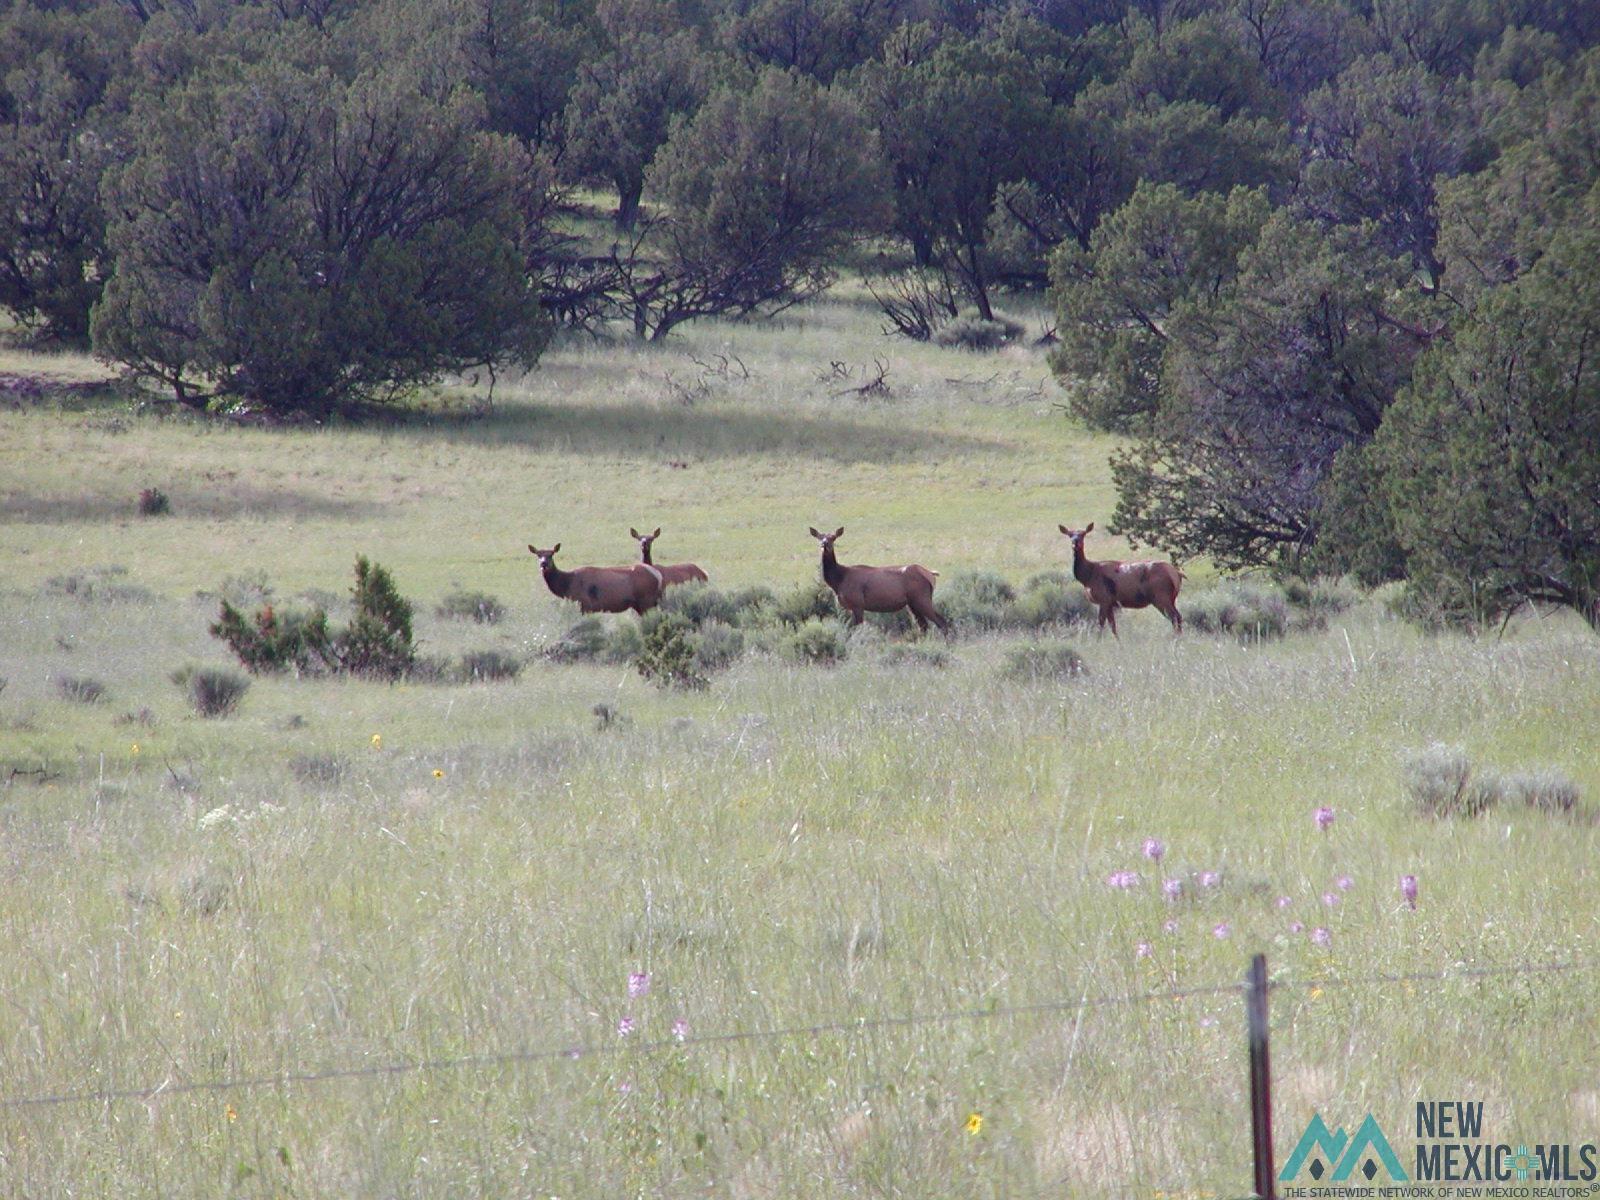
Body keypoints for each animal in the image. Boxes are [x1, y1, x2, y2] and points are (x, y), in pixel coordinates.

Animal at [524, 550, 662, 614]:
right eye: (538, 555)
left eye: (551, 554)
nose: (543, 564)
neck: (567, 584)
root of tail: (658, 575)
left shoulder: (585, 604)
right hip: (642, 605)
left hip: (646, 601)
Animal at [812, 524, 947, 640]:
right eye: (820, 537)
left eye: (833, 537)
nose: (824, 544)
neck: (838, 581)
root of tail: (931, 574)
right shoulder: (850, 607)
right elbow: (851, 629)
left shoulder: (858, 603)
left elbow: (858, 628)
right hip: (912, 603)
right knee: (924, 625)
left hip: (922, 598)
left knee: (941, 621)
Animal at [1056, 524, 1184, 640]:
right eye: (1070, 535)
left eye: (1083, 534)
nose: (1075, 543)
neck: (1087, 577)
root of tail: (1177, 574)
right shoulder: (1110, 603)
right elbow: (1113, 627)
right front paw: (1118, 643)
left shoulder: (1104, 599)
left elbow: (1101, 625)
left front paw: (1098, 642)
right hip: (1170, 598)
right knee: (1178, 617)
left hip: (1161, 597)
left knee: (1175, 617)